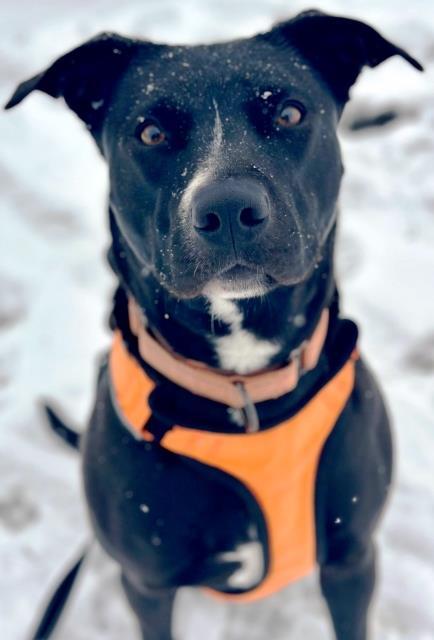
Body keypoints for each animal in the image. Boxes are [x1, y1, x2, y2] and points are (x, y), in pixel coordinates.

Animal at [5, 10, 422, 640]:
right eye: (151, 134)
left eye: (289, 113)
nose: (226, 209)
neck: (244, 390)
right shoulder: (147, 584)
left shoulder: (353, 559)